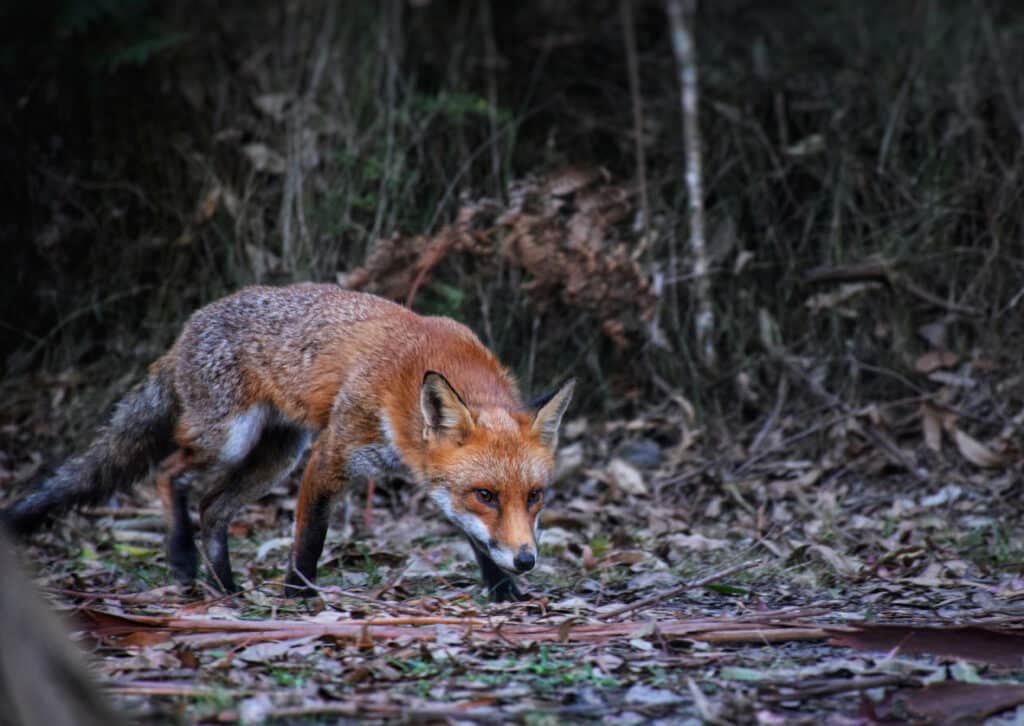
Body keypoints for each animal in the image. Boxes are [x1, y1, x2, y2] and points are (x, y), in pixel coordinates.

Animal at [1, 283, 574, 602]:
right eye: (486, 494)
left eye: (535, 497)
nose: (527, 561)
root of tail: (183, 335)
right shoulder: (331, 457)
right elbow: (308, 541)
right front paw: (297, 598)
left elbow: (477, 540)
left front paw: (503, 591)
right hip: (230, 441)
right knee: (170, 473)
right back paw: (184, 557)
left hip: (274, 457)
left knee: (211, 507)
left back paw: (225, 588)